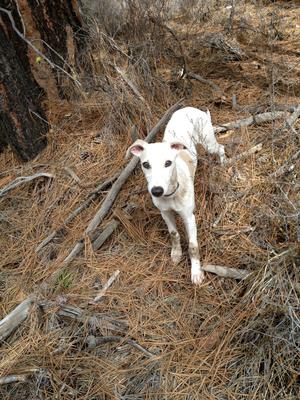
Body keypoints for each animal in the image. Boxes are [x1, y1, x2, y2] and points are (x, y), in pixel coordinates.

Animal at [126, 104, 225, 282]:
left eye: (168, 163)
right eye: (145, 164)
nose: (156, 191)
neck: (171, 194)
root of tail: (192, 108)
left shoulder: (189, 217)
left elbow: (193, 246)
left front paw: (196, 273)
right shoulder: (165, 213)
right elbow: (174, 234)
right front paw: (176, 253)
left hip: (208, 142)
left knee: (221, 148)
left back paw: (223, 164)